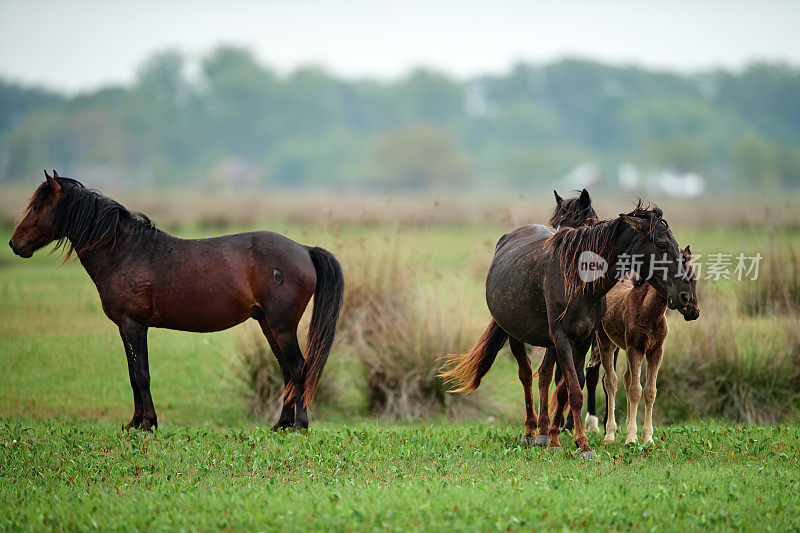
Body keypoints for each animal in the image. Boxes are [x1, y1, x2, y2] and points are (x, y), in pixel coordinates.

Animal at [9, 172, 342, 430]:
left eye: (38, 205)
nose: (14, 244)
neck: (126, 252)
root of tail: (304, 249)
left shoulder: (134, 325)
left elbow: (141, 375)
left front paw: (147, 424)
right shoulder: (125, 328)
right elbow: (133, 375)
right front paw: (135, 423)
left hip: (282, 326)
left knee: (298, 369)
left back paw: (299, 425)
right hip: (268, 325)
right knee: (286, 371)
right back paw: (280, 424)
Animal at [592, 245, 700, 444]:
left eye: (693, 279)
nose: (694, 311)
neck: (650, 313)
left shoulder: (655, 351)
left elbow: (650, 391)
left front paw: (647, 438)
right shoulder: (636, 348)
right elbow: (636, 390)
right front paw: (631, 439)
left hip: (625, 348)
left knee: (626, 378)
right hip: (606, 343)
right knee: (611, 381)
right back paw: (610, 434)